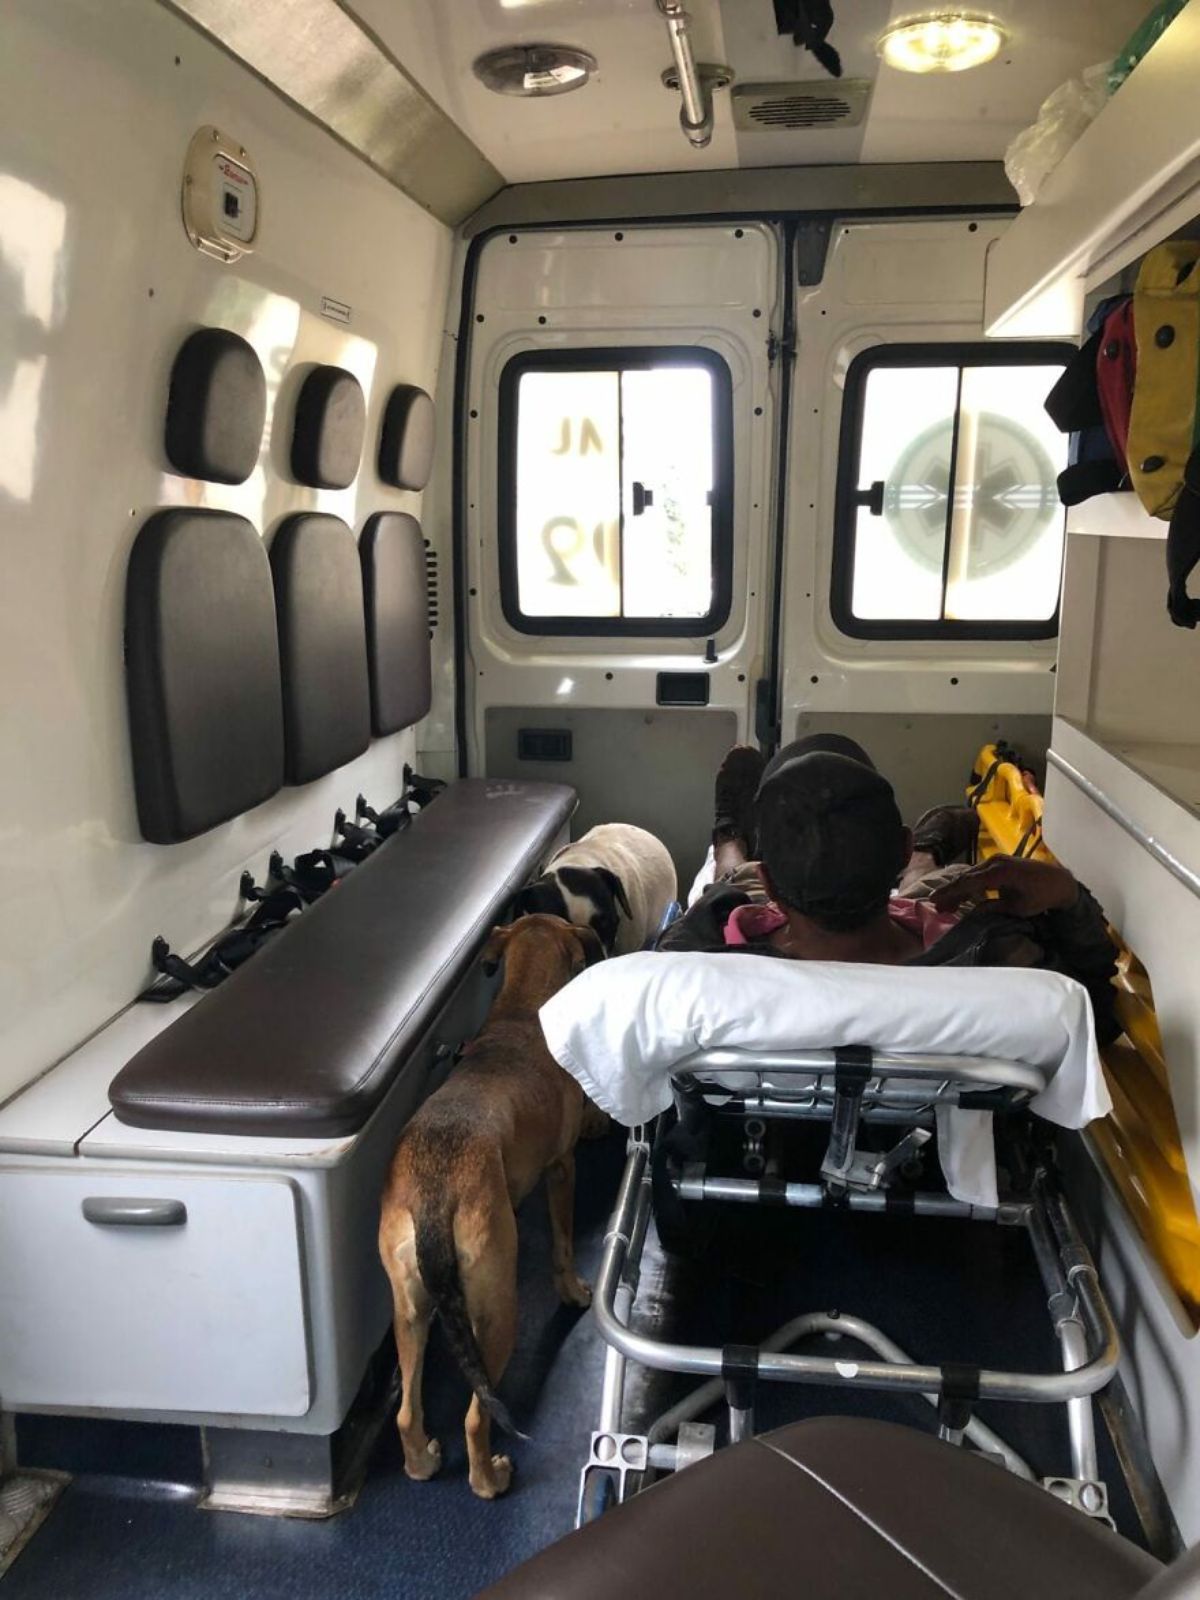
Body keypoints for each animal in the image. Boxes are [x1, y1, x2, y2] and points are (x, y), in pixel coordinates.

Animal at [380, 915, 604, 1497]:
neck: (522, 1005)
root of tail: (434, 1197)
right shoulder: (562, 1167)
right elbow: (563, 1242)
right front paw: (573, 1291)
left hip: (409, 1311)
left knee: (407, 1414)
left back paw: (421, 1462)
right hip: (497, 1309)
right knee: (476, 1417)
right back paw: (489, 1478)